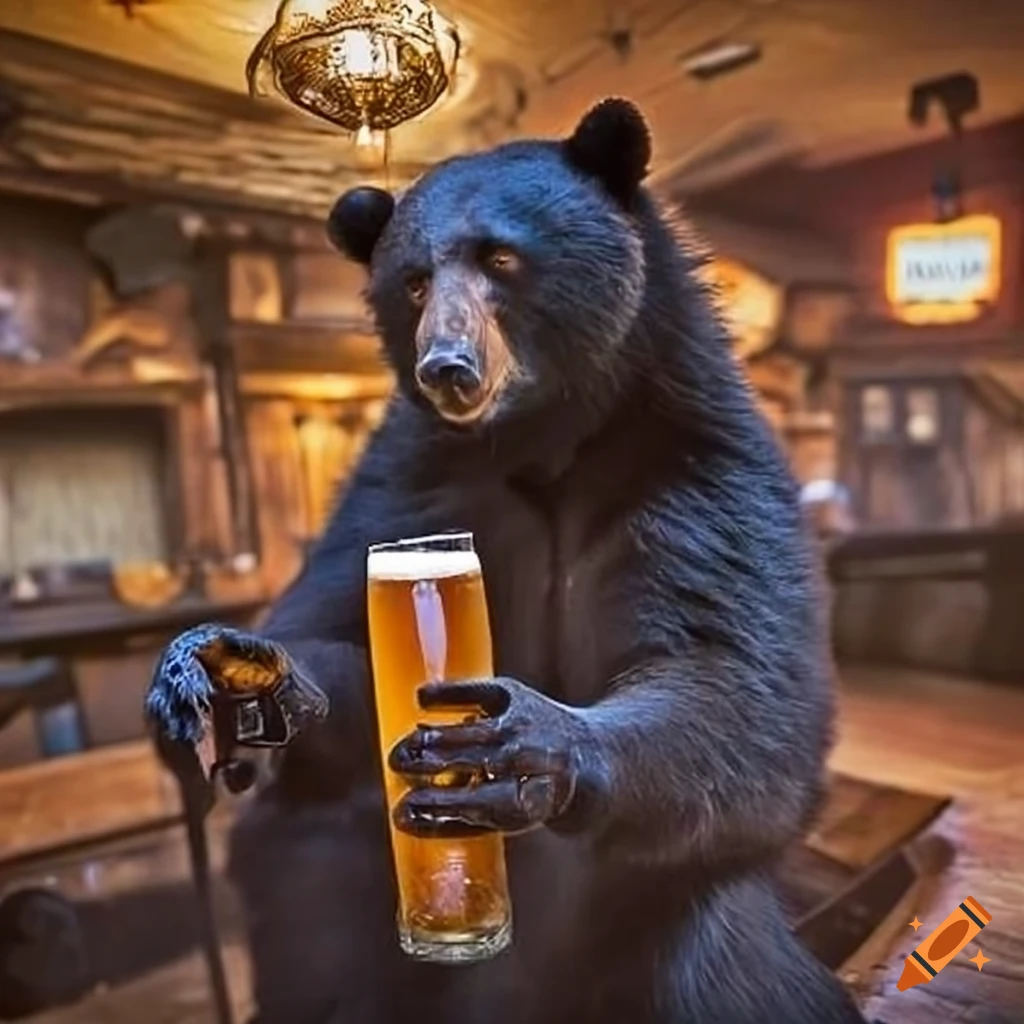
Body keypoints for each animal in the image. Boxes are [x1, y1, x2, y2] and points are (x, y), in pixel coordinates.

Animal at [144, 97, 867, 1024]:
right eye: (413, 280)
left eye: (501, 256)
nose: (446, 367)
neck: (546, 443)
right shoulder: (414, 486)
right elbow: (342, 636)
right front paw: (232, 681)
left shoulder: (695, 474)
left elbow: (734, 677)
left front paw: (523, 743)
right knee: (308, 866)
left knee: (724, 957)